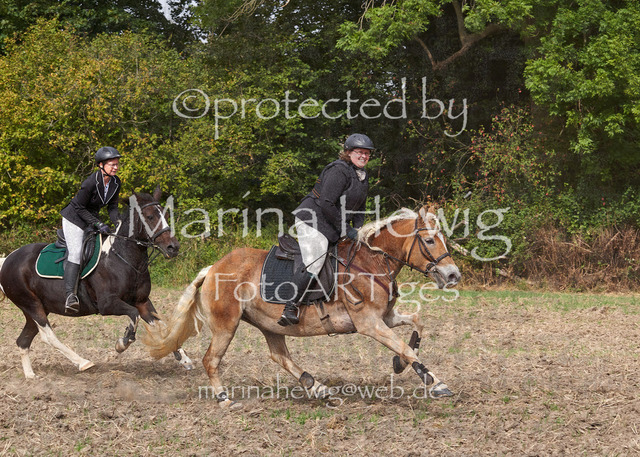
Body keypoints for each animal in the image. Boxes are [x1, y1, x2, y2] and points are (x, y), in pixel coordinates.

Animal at [0, 187, 194, 378]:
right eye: (150, 216)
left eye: (166, 215)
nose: (173, 247)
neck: (124, 258)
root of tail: (8, 259)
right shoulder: (107, 304)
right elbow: (133, 315)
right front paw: (122, 343)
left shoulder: (142, 302)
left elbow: (164, 328)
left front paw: (184, 359)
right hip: (32, 305)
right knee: (48, 336)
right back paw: (83, 362)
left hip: (35, 309)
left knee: (23, 340)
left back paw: (30, 376)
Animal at [142, 205, 461, 408]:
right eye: (429, 240)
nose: (453, 275)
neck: (371, 261)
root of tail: (213, 268)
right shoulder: (369, 324)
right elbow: (404, 346)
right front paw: (435, 382)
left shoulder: (387, 317)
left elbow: (417, 323)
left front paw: (401, 364)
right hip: (226, 325)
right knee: (211, 360)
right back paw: (225, 399)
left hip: (269, 324)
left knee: (279, 356)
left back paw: (318, 388)